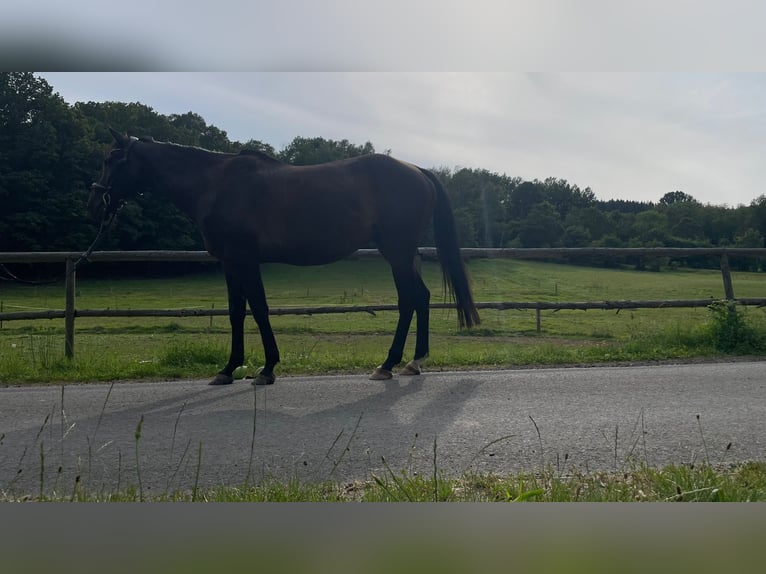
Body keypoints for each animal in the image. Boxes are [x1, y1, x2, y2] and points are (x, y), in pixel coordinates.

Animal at [90, 126, 480, 388]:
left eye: (110, 158)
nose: (94, 202)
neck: (214, 185)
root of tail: (417, 170)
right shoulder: (230, 263)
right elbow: (236, 313)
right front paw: (228, 369)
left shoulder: (246, 260)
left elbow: (259, 310)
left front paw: (266, 369)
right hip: (404, 254)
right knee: (422, 298)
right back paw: (414, 362)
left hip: (396, 252)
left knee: (408, 301)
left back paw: (388, 363)